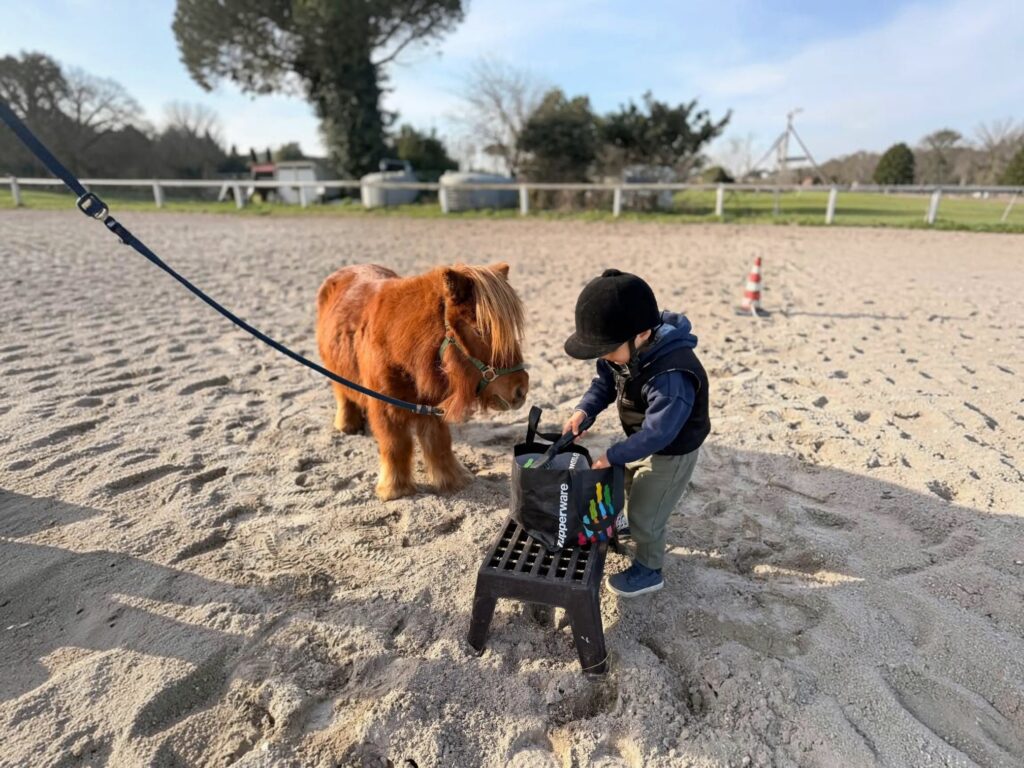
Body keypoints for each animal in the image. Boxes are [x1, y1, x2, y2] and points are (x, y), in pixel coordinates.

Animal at [316, 262, 529, 501]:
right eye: (479, 330)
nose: (521, 389)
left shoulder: (430, 404)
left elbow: (439, 442)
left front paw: (453, 480)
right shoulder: (384, 407)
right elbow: (395, 444)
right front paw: (395, 489)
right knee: (342, 394)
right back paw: (347, 425)